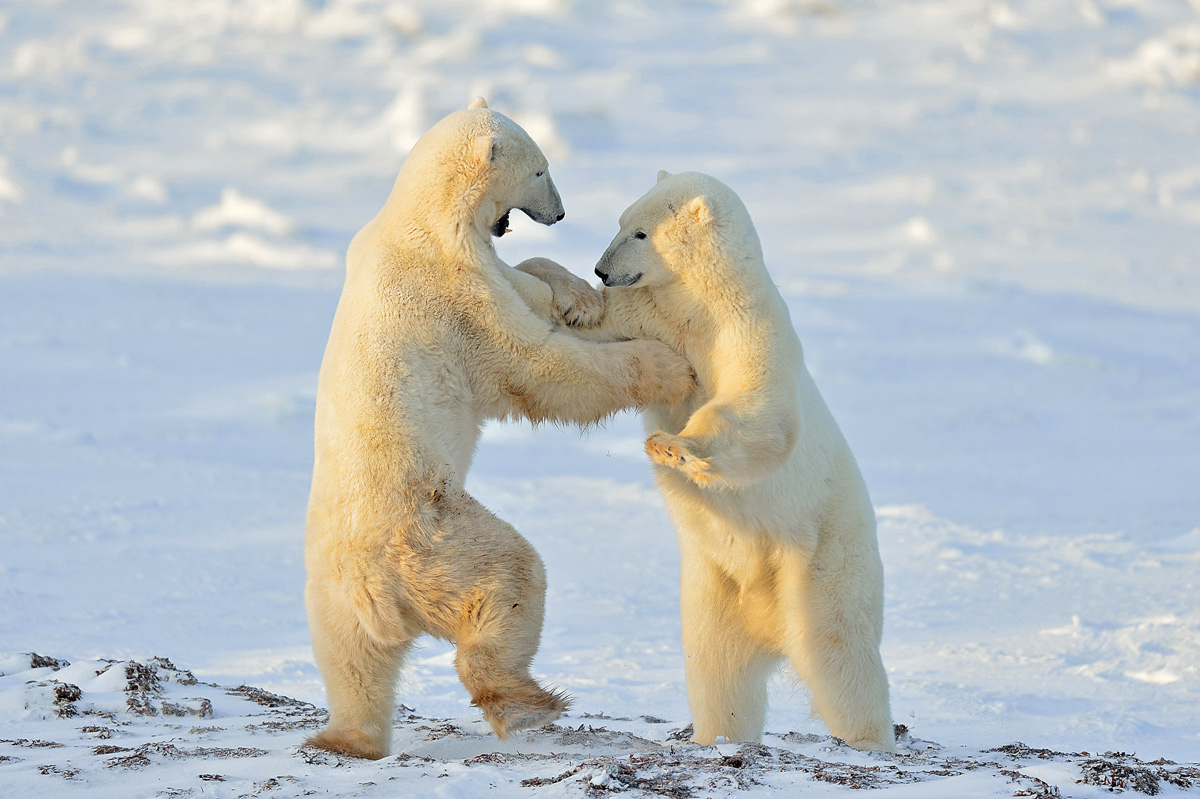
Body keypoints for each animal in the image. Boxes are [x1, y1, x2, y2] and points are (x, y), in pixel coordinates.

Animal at [302, 101, 696, 758]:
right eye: (540, 170)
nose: (559, 212)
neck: (423, 220)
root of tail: (375, 591)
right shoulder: (455, 294)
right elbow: (538, 364)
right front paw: (667, 367)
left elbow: (529, 282)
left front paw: (578, 299)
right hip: (439, 535)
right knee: (513, 578)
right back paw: (527, 703)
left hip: (331, 596)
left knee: (353, 664)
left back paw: (345, 738)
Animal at [535, 171, 892, 748]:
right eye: (620, 221)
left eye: (640, 232)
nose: (602, 270)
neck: (701, 302)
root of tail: (772, 623)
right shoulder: (654, 315)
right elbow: (590, 326)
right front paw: (568, 295)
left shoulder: (746, 329)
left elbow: (756, 407)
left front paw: (673, 446)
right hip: (715, 589)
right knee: (718, 672)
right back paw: (719, 736)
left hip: (823, 557)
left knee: (842, 659)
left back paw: (869, 739)